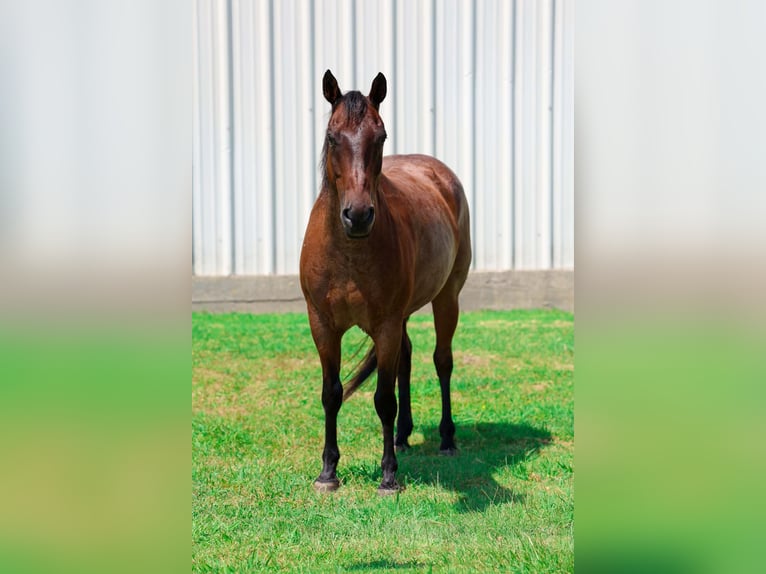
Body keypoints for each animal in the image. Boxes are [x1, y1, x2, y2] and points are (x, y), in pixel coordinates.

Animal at [299, 70, 472, 494]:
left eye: (380, 137)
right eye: (332, 137)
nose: (358, 215)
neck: (348, 252)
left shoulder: (386, 325)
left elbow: (383, 400)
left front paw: (389, 476)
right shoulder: (322, 325)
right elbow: (331, 393)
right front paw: (328, 472)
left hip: (447, 298)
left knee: (442, 361)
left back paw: (446, 438)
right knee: (407, 359)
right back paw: (403, 435)